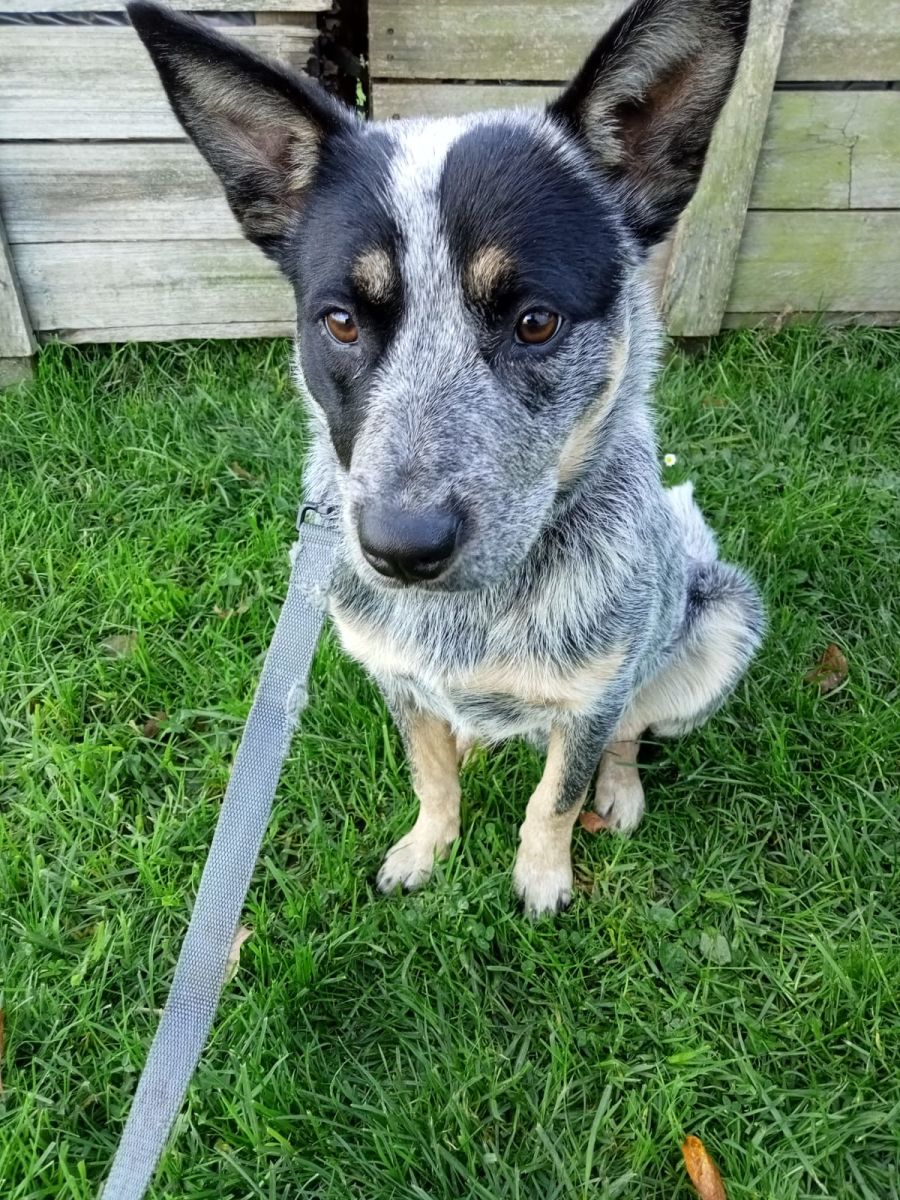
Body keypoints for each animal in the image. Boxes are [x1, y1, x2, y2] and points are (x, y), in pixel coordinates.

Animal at [130, 0, 764, 916]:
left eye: (535, 321)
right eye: (341, 322)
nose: (401, 548)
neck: (469, 622)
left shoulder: (595, 694)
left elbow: (556, 795)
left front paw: (542, 875)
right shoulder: (395, 677)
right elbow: (428, 774)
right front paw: (429, 847)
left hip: (719, 620)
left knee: (633, 731)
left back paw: (620, 787)